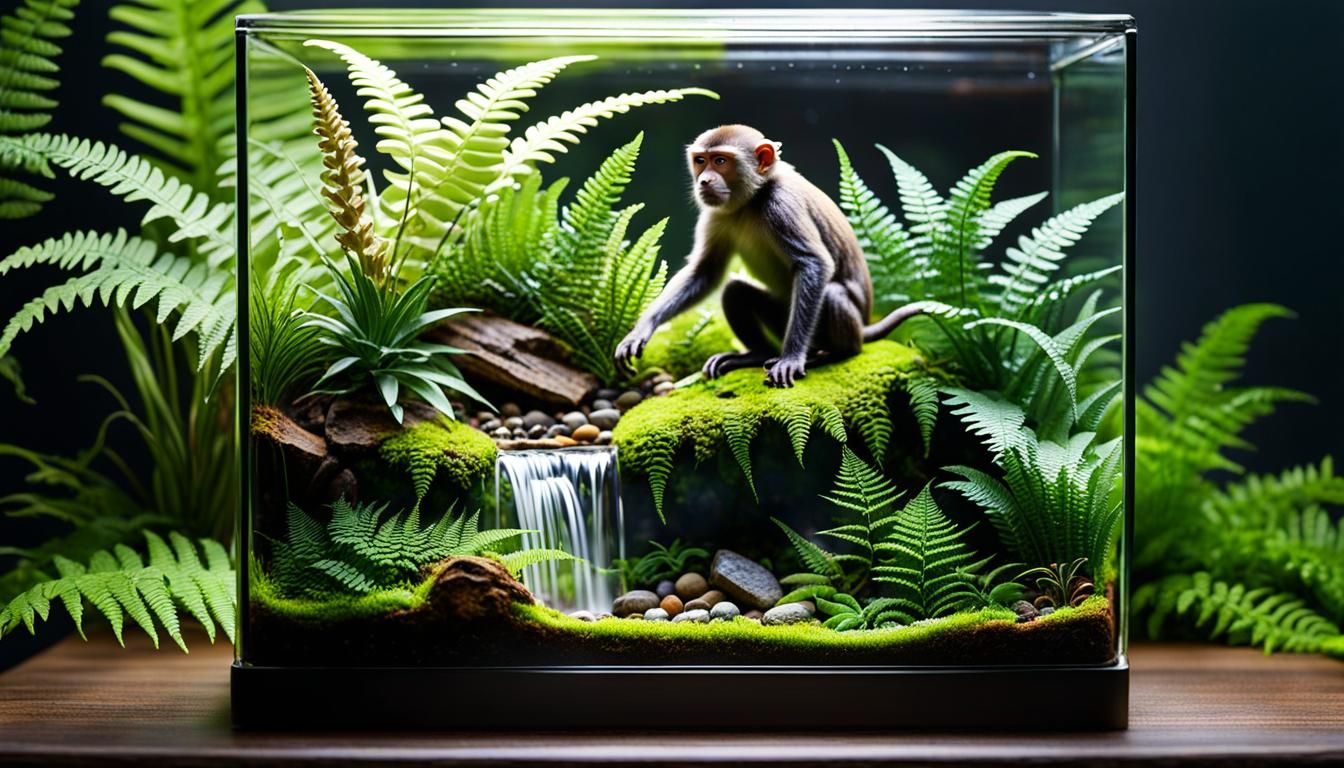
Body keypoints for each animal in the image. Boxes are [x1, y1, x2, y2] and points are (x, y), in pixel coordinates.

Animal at [614, 124, 925, 388]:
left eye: (721, 161)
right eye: (701, 160)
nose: (703, 181)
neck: (751, 201)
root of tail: (863, 327)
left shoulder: (781, 204)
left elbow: (813, 264)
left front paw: (791, 358)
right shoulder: (717, 214)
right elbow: (706, 272)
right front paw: (642, 328)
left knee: (833, 294)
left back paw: (832, 353)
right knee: (735, 291)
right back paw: (754, 354)